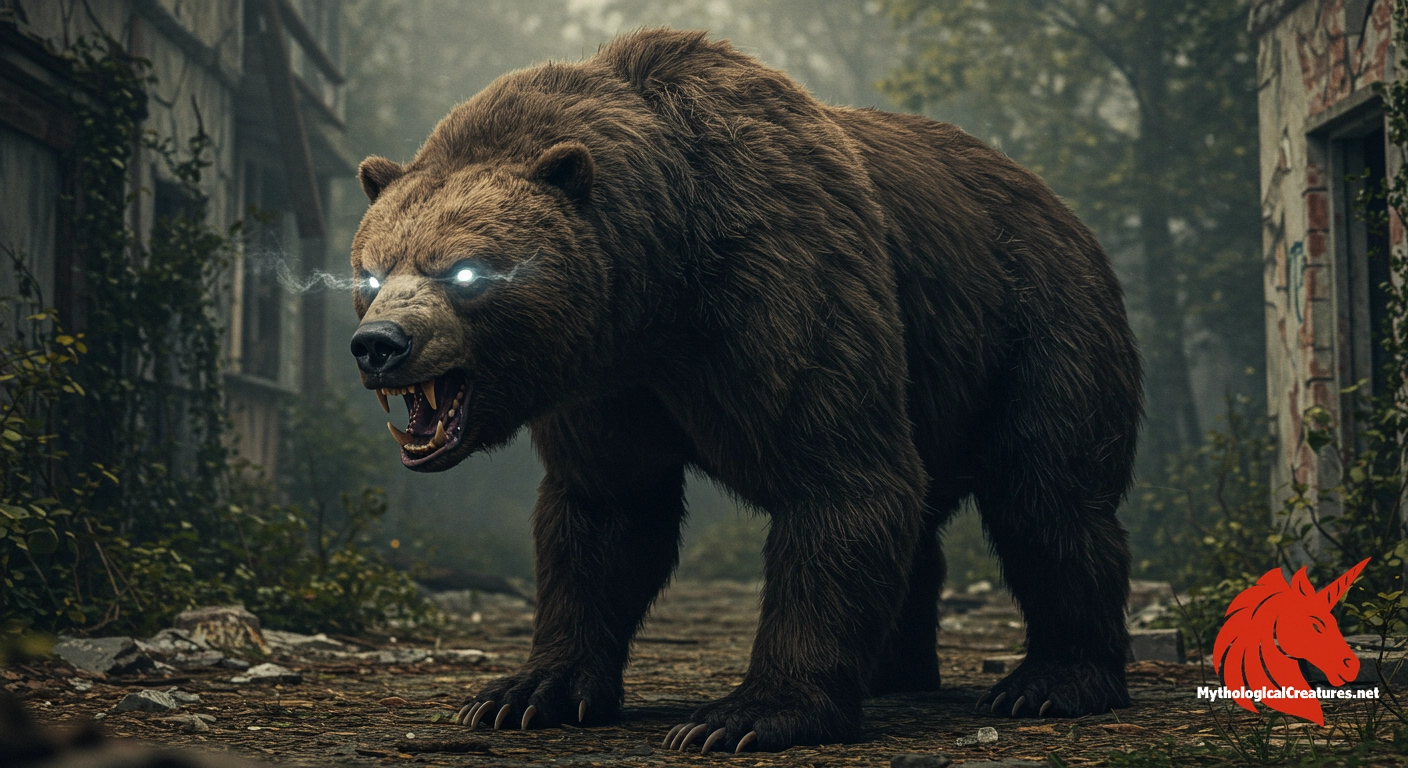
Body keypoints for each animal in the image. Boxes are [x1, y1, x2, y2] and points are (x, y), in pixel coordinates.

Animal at [347, 28, 1142, 753]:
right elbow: (604, 512)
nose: (379, 344)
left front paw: (742, 716)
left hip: (1036, 324)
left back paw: (1051, 681)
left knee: (1047, 497)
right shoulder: (608, 381)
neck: (660, 278)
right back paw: (895, 670)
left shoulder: (782, 280)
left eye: (464, 270)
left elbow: (841, 477)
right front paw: (524, 692)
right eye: (372, 270)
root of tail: (1056, 201)